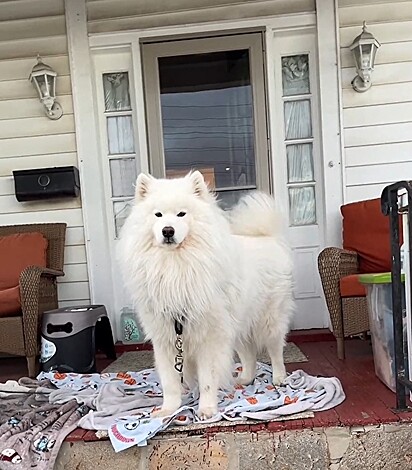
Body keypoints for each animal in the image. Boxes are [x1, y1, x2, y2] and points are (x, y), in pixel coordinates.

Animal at [117, 172, 294, 418]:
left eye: (181, 214)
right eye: (158, 215)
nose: (168, 230)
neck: (175, 266)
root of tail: (268, 238)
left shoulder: (209, 337)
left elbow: (208, 380)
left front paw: (207, 409)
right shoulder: (166, 339)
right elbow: (170, 382)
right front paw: (168, 410)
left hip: (269, 320)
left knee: (275, 350)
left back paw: (278, 378)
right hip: (237, 324)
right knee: (249, 355)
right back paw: (244, 379)